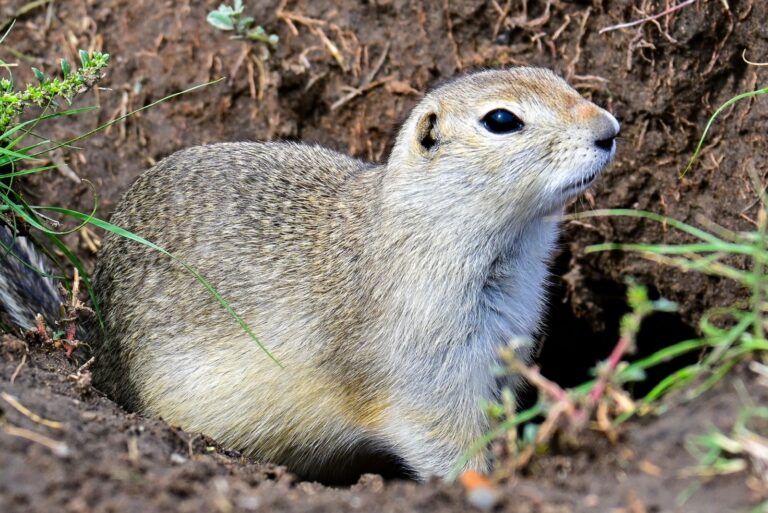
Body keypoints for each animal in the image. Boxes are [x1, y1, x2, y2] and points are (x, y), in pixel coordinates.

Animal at [0, 67, 619, 482]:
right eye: (501, 120)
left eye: (557, 77)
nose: (609, 128)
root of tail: (94, 351)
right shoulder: (429, 376)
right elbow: (449, 446)